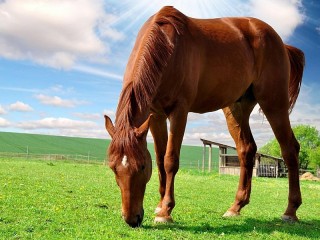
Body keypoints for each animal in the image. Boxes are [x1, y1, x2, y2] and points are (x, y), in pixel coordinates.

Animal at [105, 5, 304, 227]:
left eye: (141, 167)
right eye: (113, 168)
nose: (132, 219)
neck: (168, 47)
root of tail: (280, 43)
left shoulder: (179, 111)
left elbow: (170, 160)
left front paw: (165, 211)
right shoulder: (155, 115)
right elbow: (159, 160)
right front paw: (160, 204)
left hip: (274, 103)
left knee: (290, 149)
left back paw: (290, 211)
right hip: (237, 108)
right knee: (247, 149)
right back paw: (236, 207)